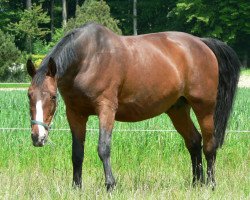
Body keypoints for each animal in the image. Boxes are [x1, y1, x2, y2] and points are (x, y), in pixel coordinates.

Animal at [26, 22, 240, 191]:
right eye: (29, 95)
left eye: (53, 96)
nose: (38, 137)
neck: (88, 58)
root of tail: (202, 43)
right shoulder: (75, 113)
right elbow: (77, 152)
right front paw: (76, 187)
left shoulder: (106, 109)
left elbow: (103, 148)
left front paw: (110, 185)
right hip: (177, 110)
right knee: (194, 142)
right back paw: (196, 183)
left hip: (205, 108)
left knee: (209, 145)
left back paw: (210, 184)